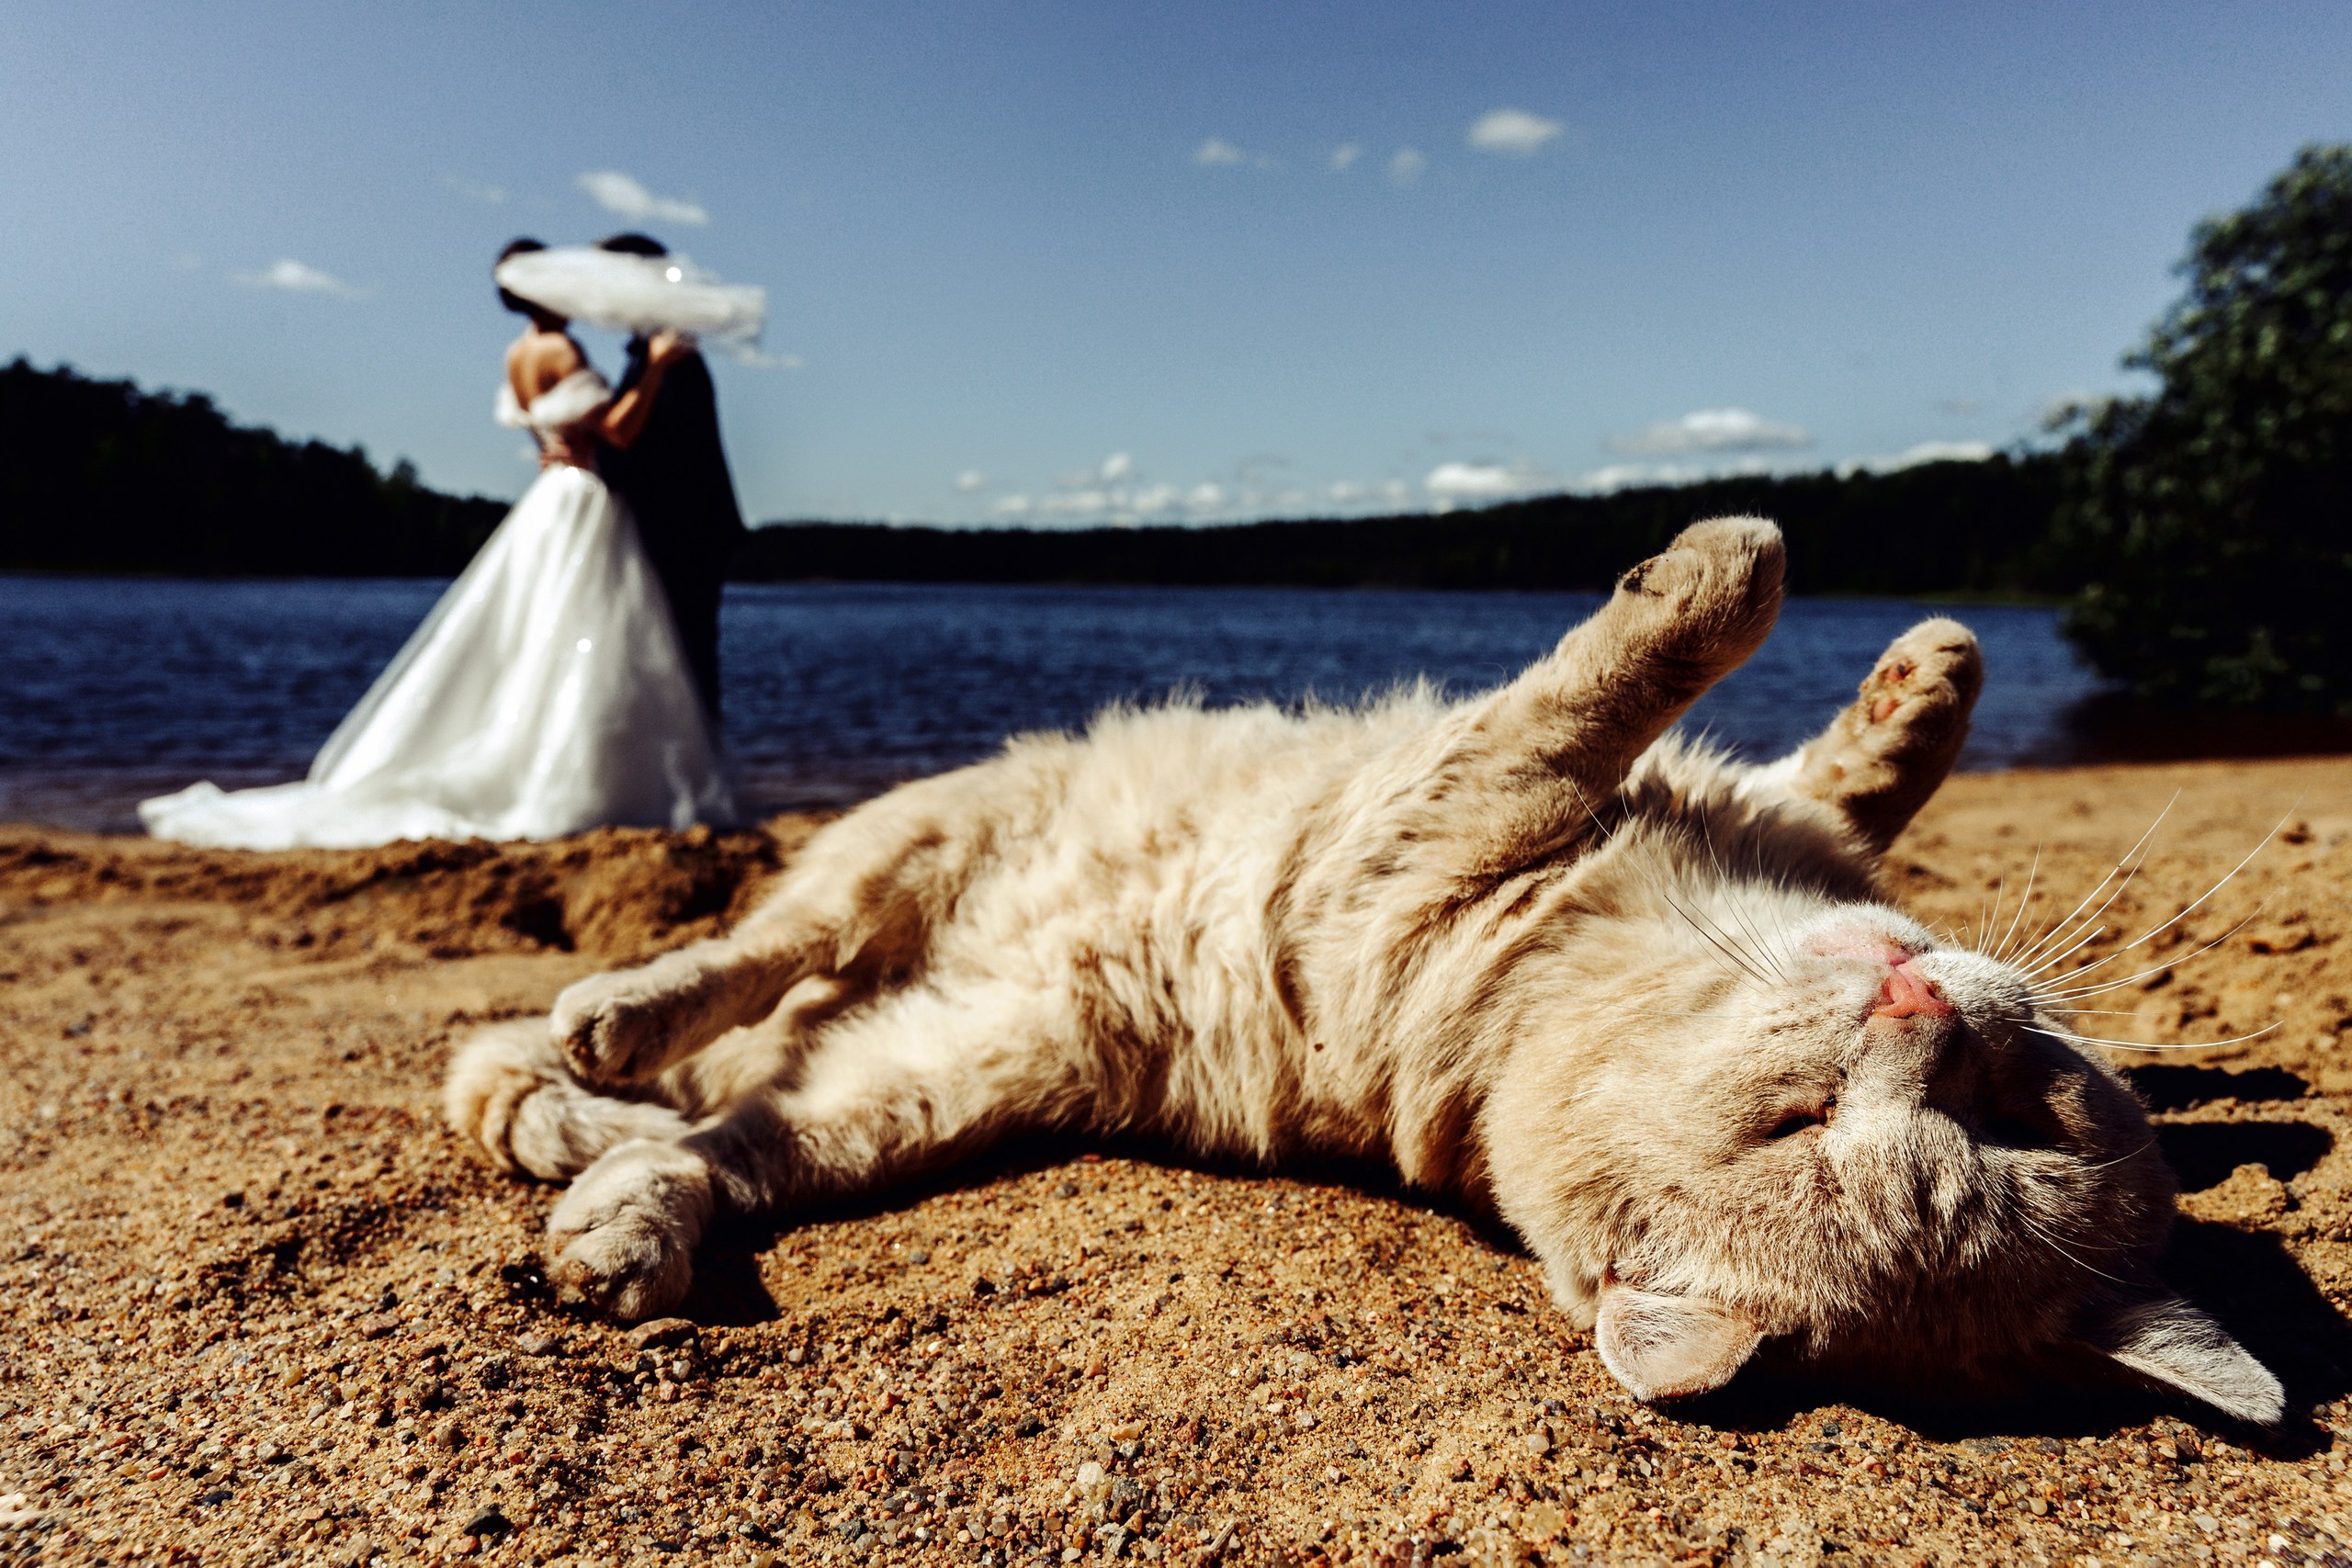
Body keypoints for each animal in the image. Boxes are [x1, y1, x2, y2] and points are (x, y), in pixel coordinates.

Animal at [444, 524, 2277, 1419]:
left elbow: (1679, 659)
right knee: (754, 957)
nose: (1922, 1004)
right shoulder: (1602, 793)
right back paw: (597, 1040)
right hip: (920, 834)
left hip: (933, 1078)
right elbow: (1800, 718)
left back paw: (618, 1209)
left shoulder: (1473, 804)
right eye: (1806, 1118)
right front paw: (1920, 662)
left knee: (735, 1128)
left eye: (1989, 1124)